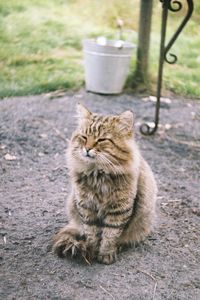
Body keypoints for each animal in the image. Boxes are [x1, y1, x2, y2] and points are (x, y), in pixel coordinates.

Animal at [52, 103, 157, 264]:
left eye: (101, 140)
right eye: (84, 137)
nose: (87, 149)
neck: (98, 174)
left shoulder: (119, 210)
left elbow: (110, 234)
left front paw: (106, 254)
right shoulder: (86, 206)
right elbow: (91, 232)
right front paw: (91, 249)